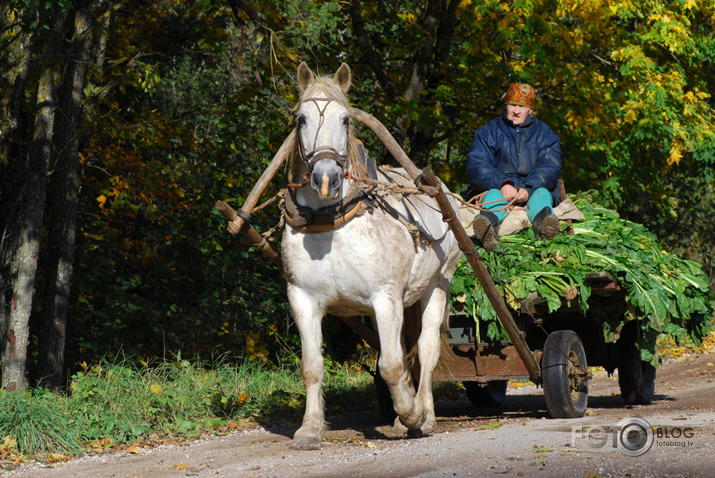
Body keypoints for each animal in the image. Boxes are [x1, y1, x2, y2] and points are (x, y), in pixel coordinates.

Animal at [282, 61, 462, 450]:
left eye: (346, 119)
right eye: (301, 119)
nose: (325, 179)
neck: (330, 225)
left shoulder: (386, 297)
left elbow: (391, 365)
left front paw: (412, 415)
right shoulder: (302, 298)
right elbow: (312, 365)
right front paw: (310, 428)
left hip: (438, 284)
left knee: (426, 350)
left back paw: (425, 414)